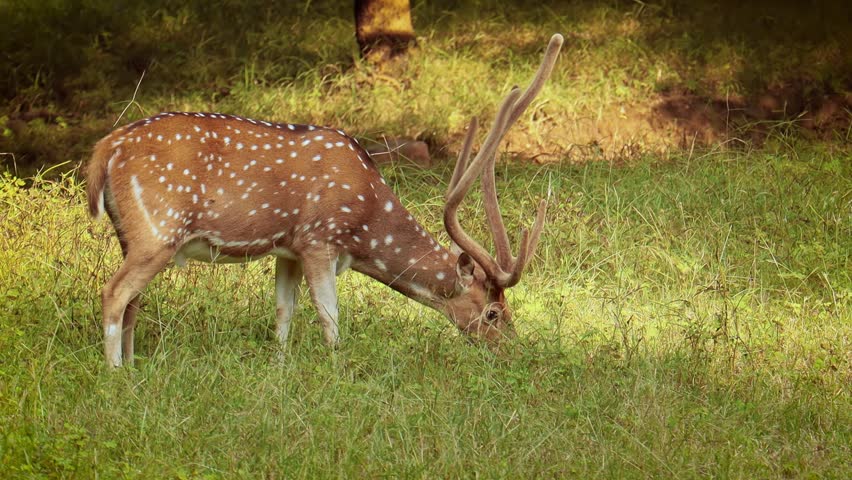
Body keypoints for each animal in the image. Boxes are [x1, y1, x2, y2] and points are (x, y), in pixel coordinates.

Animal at [86, 34, 563, 367]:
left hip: (132, 236)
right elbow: (330, 320)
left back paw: (134, 366)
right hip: (157, 229)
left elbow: (283, 315)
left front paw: (279, 370)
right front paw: (337, 373)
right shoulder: (319, 239)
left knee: (133, 301)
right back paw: (115, 374)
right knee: (114, 292)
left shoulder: (288, 249)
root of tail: (104, 149)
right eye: (493, 314)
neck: (366, 222)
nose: (513, 351)